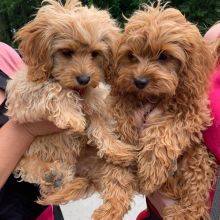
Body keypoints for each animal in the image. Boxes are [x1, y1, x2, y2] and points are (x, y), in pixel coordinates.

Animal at [6, 0, 134, 199]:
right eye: (66, 52)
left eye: (95, 53)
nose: (84, 79)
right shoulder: (24, 96)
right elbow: (56, 88)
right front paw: (71, 117)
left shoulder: (94, 103)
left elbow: (101, 127)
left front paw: (116, 149)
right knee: (29, 168)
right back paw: (51, 174)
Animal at [105, 3, 217, 220]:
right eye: (131, 56)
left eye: (164, 56)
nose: (139, 81)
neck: (153, 97)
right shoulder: (122, 96)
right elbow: (119, 108)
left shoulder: (192, 112)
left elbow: (164, 130)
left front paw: (150, 172)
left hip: (197, 156)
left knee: (196, 192)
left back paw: (184, 212)